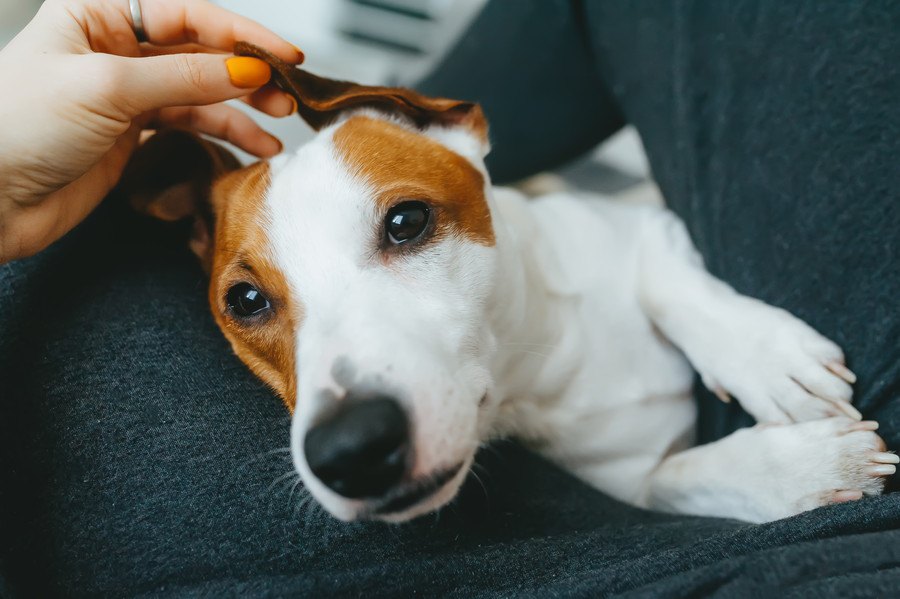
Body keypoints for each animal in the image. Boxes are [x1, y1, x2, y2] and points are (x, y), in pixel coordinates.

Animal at [119, 42, 892, 524]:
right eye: (245, 301)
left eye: (406, 221)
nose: (351, 451)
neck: (540, 362)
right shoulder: (637, 482)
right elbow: (684, 478)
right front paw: (800, 469)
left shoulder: (639, 223)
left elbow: (671, 283)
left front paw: (768, 359)